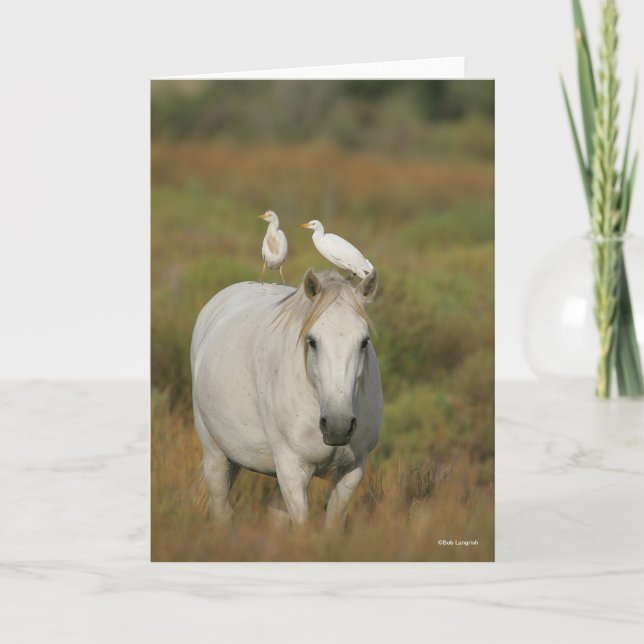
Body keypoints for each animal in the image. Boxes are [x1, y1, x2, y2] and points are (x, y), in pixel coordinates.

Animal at [190, 268, 383, 528]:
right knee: (221, 511)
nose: (338, 426)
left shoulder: (352, 472)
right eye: (312, 341)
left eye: (364, 342)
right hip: (215, 454)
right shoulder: (292, 470)